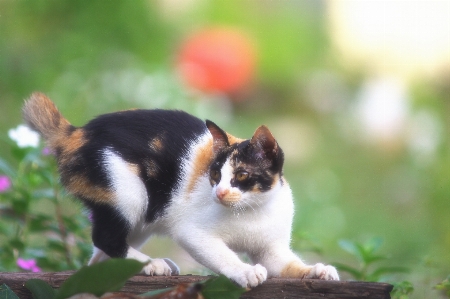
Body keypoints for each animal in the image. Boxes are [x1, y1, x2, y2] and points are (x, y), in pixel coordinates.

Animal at [21, 92, 338, 288]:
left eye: (241, 175)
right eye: (214, 175)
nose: (219, 193)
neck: (251, 211)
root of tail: (77, 133)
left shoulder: (272, 251)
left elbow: (286, 264)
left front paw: (317, 270)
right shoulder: (193, 232)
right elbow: (221, 254)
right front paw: (244, 271)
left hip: (145, 214)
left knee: (99, 254)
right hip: (129, 192)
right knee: (106, 238)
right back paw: (152, 264)